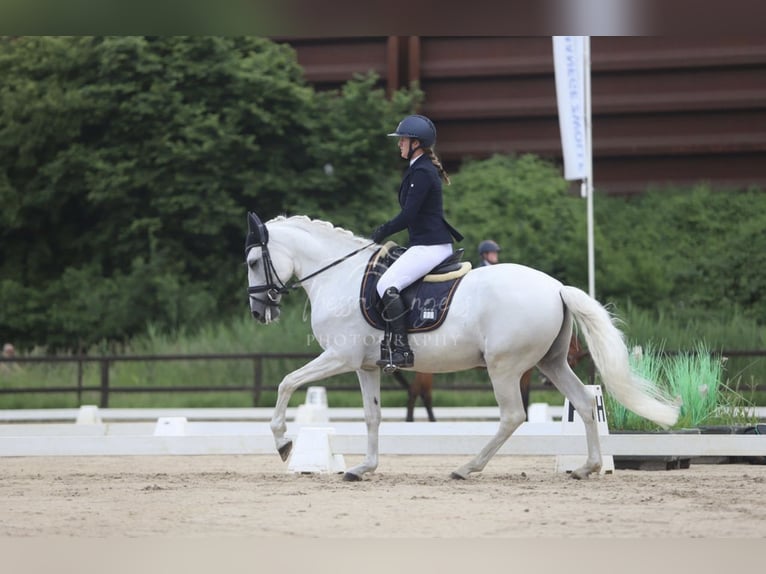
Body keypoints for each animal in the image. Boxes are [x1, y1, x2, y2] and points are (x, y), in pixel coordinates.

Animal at [396, 336, 588, 426]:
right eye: (569, 359)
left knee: (419, 392)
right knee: (419, 392)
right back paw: (415, 422)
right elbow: (524, 397)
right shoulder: (525, 372)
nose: (545, 381)